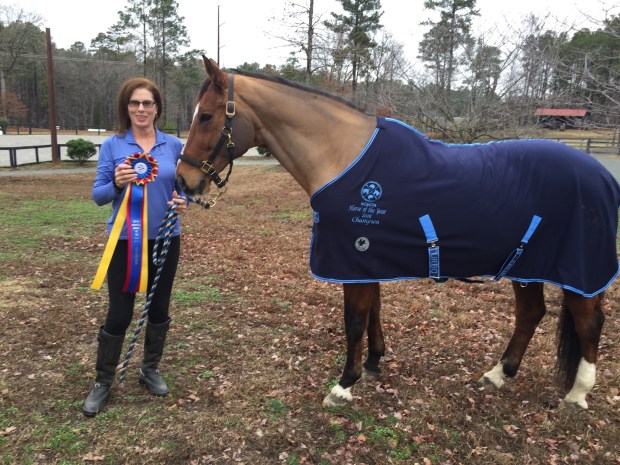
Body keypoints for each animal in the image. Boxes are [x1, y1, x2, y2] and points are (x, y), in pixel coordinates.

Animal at [177, 56, 620, 410]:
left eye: (206, 116)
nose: (183, 180)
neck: (345, 158)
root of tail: (601, 176)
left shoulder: (353, 256)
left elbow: (355, 319)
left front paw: (344, 385)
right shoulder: (364, 258)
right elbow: (373, 311)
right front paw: (373, 364)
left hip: (577, 273)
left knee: (588, 324)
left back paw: (577, 394)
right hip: (526, 266)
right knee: (531, 313)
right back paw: (498, 374)